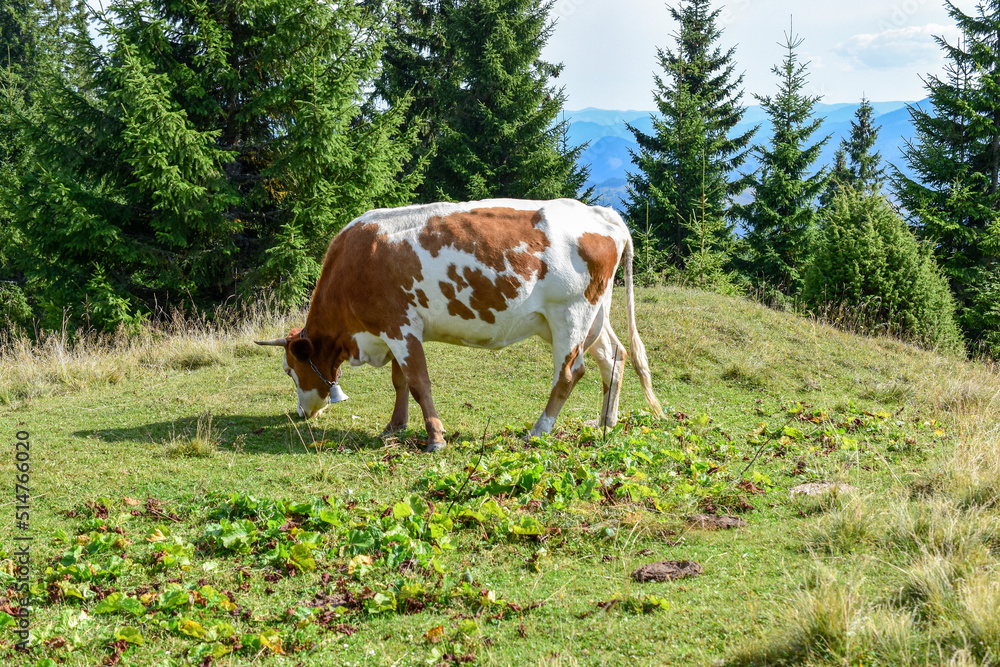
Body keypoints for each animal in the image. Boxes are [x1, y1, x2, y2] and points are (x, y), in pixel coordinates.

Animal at [256, 198, 663, 452]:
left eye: (290, 370)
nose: (301, 414)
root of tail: (600, 213)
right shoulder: (397, 330)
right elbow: (399, 381)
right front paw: (394, 426)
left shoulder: (400, 327)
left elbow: (418, 382)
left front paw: (435, 438)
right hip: (595, 315)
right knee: (614, 357)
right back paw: (606, 423)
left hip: (570, 314)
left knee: (569, 372)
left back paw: (538, 430)